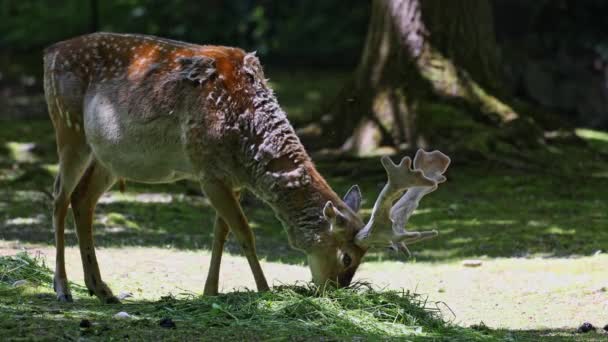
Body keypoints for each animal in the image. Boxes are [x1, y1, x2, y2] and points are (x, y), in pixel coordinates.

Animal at [44, 32, 452, 304]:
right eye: (347, 256)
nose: (336, 291)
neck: (248, 140)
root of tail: (49, 51)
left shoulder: (233, 178)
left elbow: (220, 233)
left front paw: (210, 292)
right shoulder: (206, 167)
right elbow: (245, 233)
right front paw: (265, 289)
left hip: (108, 157)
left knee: (83, 200)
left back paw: (101, 289)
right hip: (68, 127)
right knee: (60, 196)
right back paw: (63, 289)